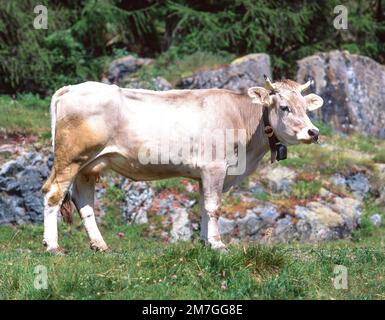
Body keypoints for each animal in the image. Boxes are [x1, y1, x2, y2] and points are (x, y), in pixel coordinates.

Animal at [41, 76, 320, 254]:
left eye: (306, 108)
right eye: (284, 107)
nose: (313, 132)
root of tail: (69, 88)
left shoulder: (204, 174)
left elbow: (204, 208)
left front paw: (206, 242)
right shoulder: (214, 167)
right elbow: (214, 207)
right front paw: (219, 245)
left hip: (88, 166)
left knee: (84, 202)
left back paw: (100, 245)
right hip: (70, 159)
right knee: (53, 194)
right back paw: (53, 246)